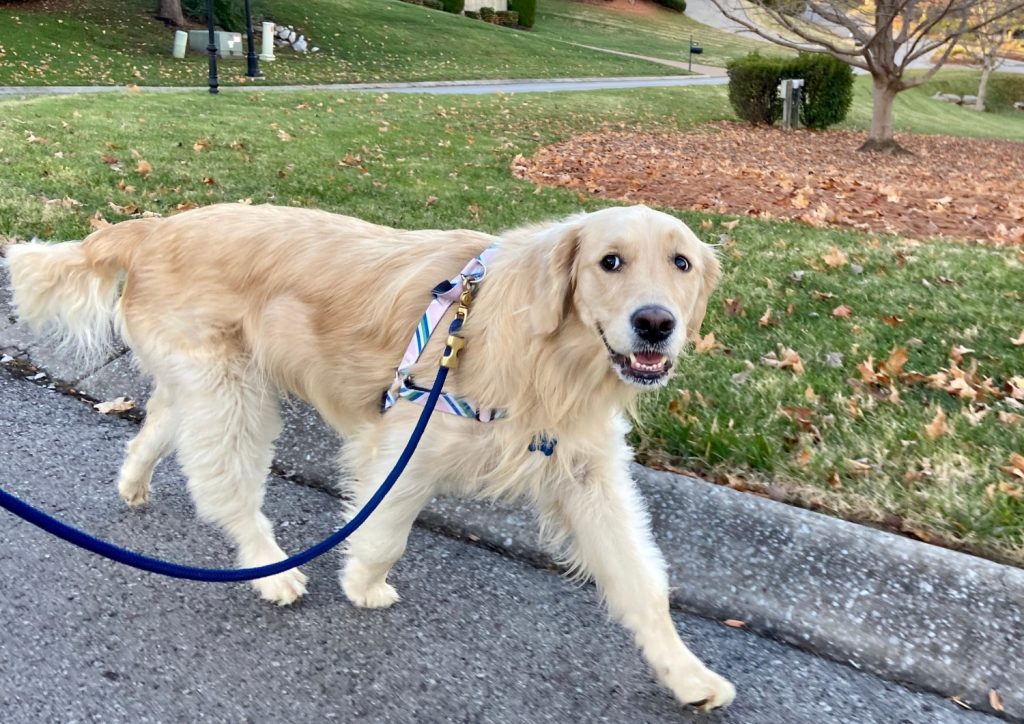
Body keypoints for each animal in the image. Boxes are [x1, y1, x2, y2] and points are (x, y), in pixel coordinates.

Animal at [4, 202, 733, 708]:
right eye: (610, 261)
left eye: (681, 264)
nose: (656, 324)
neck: (551, 354)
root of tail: (153, 228)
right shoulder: (410, 436)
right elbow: (384, 531)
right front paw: (363, 585)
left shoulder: (588, 476)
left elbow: (642, 584)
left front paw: (687, 674)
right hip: (232, 394)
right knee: (224, 487)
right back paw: (269, 568)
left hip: (208, 383)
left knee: (158, 426)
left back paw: (133, 482)